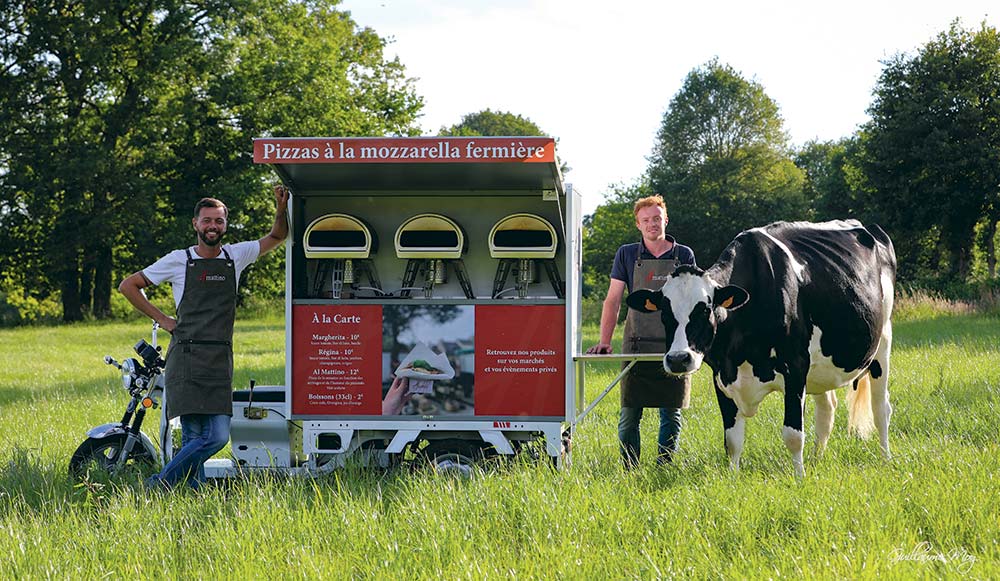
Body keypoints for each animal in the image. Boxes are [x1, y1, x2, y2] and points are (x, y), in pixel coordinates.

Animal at [624, 220, 900, 474]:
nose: (678, 359)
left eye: (706, 309)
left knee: (881, 408)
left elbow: (793, 435)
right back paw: (816, 459)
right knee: (827, 410)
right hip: (820, 366)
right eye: (664, 312)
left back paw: (885, 458)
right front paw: (733, 479)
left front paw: (799, 479)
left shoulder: (795, 365)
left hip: (883, 341)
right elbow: (732, 440)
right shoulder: (721, 374)